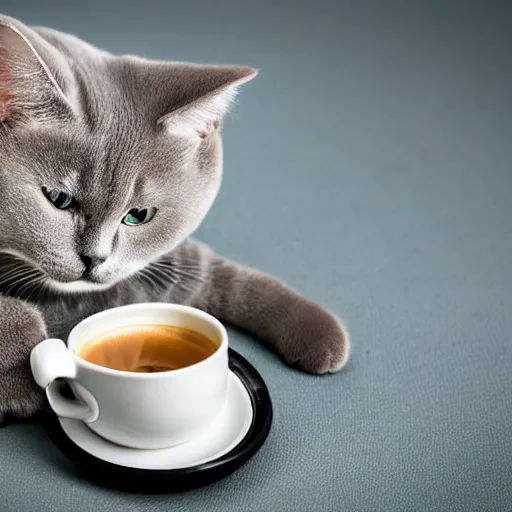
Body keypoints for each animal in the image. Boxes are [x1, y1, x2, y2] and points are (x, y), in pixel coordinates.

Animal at [0, 15, 348, 424]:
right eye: (59, 199)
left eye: (138, 215)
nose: (94, 259)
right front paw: (26, 383)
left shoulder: (160, 267)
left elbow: (218, 275)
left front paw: (317, 329)